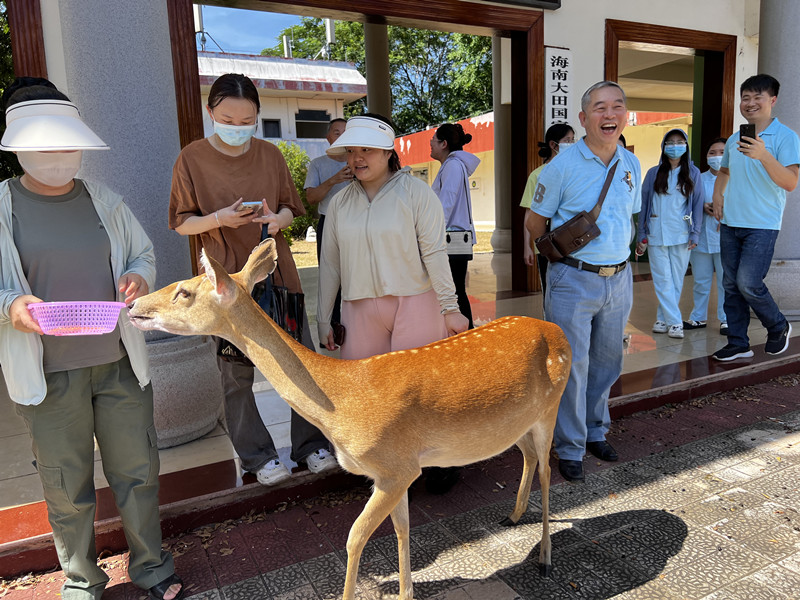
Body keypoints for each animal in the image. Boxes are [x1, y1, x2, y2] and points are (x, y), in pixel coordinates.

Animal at [128, 239, 568, 600]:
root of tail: (556, 329)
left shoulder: (394, 466)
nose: (132, 305)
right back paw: (513, 516)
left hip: (551, 406)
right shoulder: (398, 471)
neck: (341, 404)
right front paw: (406, 593)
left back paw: (546, 558)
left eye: (184, 291)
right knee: (529, 457)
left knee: (549, 469)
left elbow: (354, 538)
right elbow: (402, 528)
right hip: (516, 423)